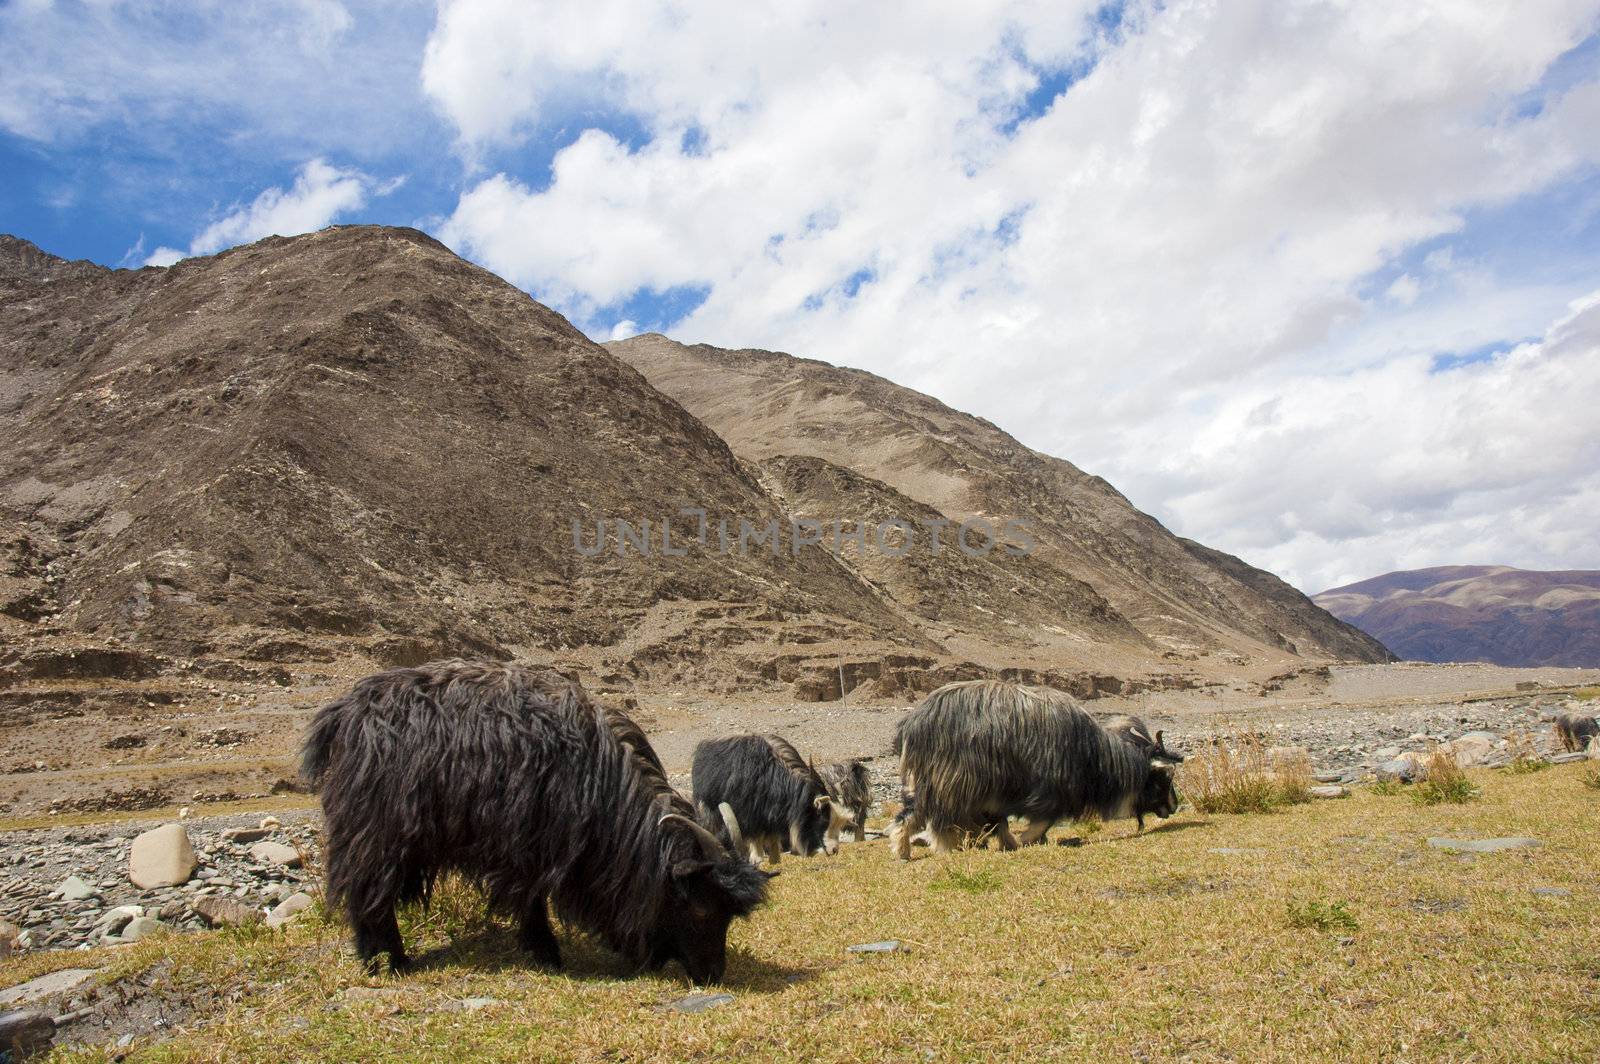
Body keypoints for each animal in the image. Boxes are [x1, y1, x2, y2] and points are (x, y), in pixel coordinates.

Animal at [304, 659, 774, 985]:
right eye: (698, 907)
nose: (712, 974)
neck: (601, 783)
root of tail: (345, 712)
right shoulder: (525, 849)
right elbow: (531, 901)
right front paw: (546, 952)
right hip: (375, 831)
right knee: (365, 891)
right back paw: (386, 961)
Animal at [896, 675, 1184, 857]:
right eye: (1164, 776)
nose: (1173, 807)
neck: (1093, 754)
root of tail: (914, 723)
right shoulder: (1050, 790)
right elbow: (1041, 820)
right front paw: (1024, 840)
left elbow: (1000, 824)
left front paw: (1010, 843)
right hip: (947, 785)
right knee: (931, 816)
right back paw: (930, 848)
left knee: (910, 814)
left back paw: (905, 850)